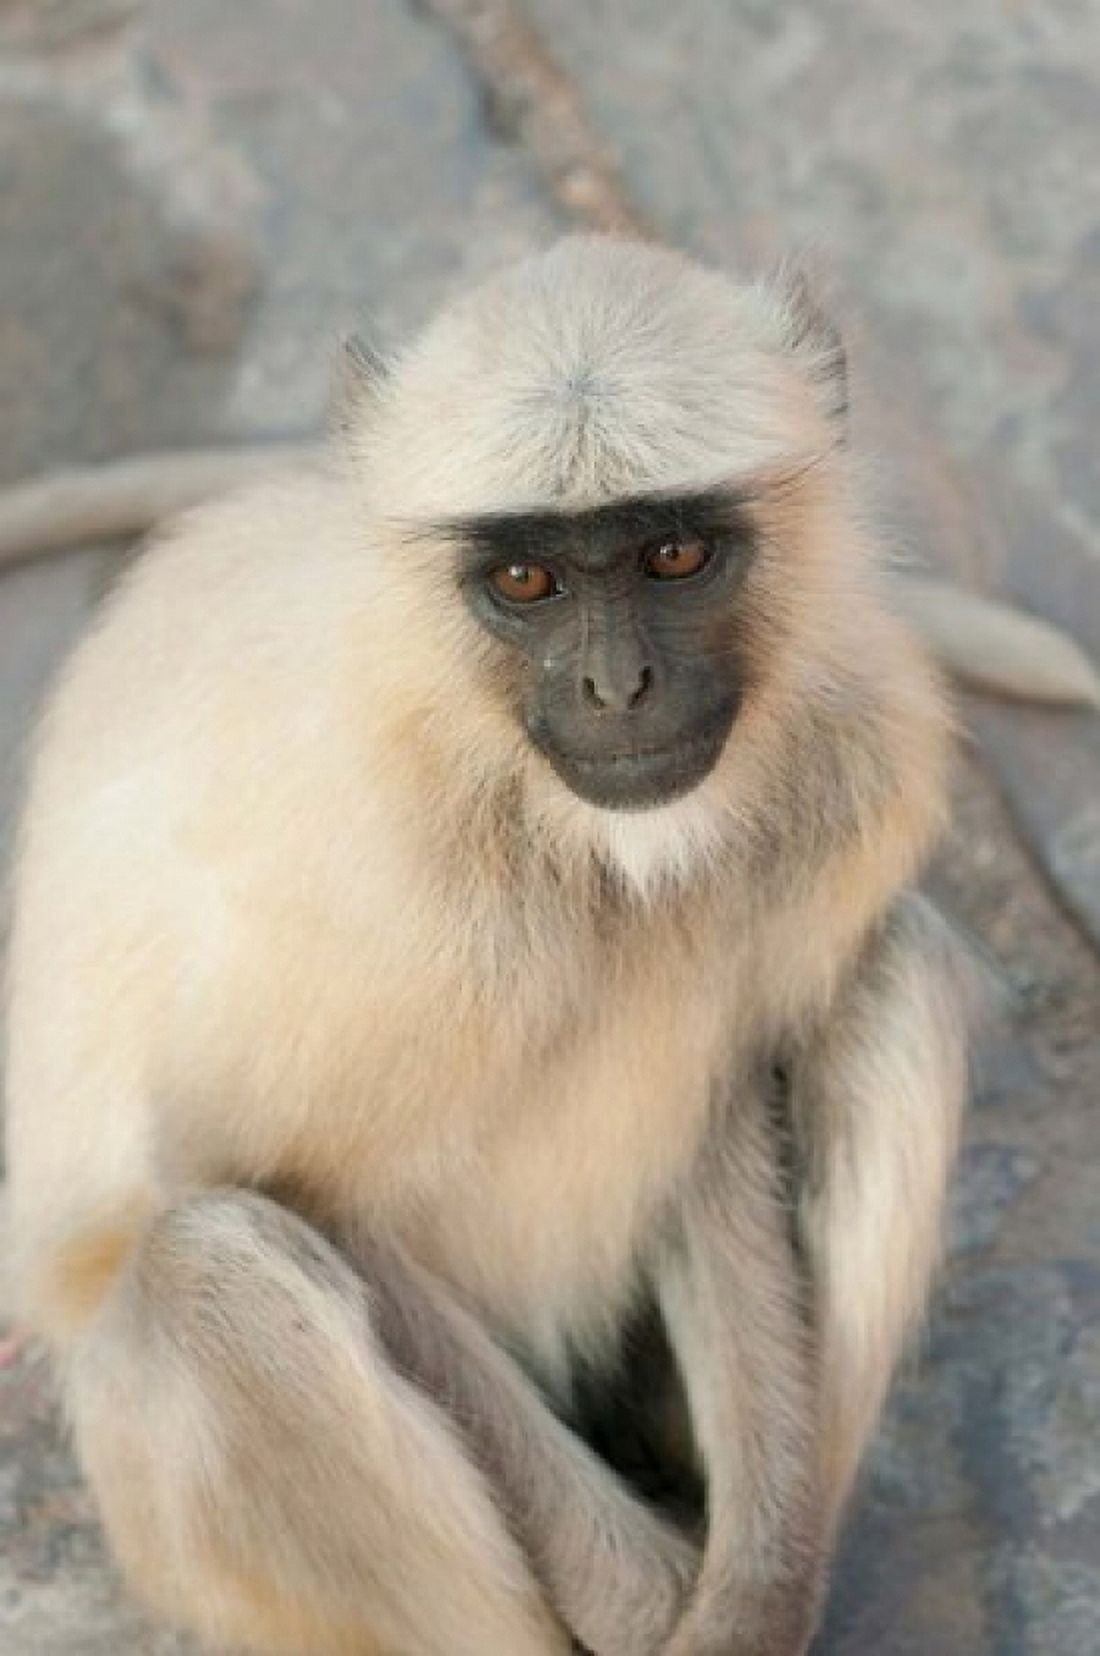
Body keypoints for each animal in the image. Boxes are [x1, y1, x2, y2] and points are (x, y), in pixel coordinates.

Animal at [4, 235, 969, 1656]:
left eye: (673, 553)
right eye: (526, 580)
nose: (616, 690)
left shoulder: (846, 757)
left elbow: (715, 1109)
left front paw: (751, 1598)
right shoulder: (372, 870)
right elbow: (282, 1181)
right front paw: (647, 1599)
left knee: (902, 973)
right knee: (203, 1271)